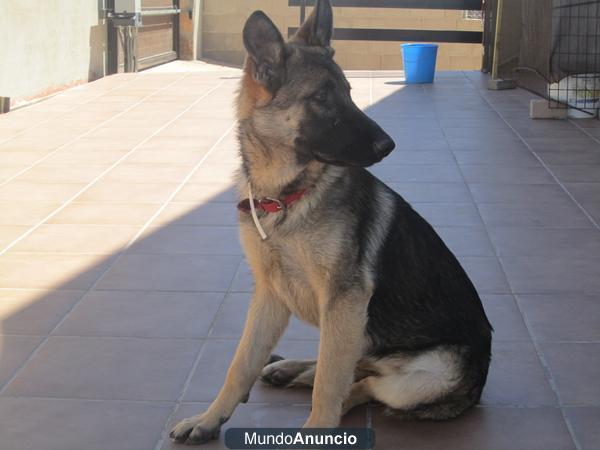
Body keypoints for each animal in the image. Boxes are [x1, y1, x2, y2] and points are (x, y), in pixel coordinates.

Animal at [170, 0, 492, 442]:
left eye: (349, 94)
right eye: (322, 97)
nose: (389, 146)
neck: (286, 199)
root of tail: (480, 382)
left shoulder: (344, 300)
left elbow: (329, 382)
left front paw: (316, 429)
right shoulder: (270, 296)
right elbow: (240, 364)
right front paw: (209, 417)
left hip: (421, 375)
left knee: (363, 383)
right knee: (351, 368)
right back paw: (287, 369)